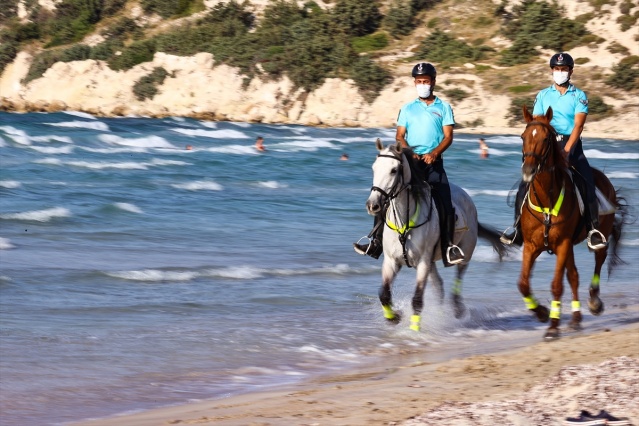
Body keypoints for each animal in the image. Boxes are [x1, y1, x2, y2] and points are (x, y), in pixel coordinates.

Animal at [364, 140, 510, 332]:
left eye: (394, 170)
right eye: (374, 168)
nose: (372, 205)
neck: (405, 221)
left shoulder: (423, 262)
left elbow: (417, 300)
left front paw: (414, 331)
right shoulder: (391, 261)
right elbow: (384, 294)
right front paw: (394, 317)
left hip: (463, 253)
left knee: (458, 278)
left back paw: (457, 311)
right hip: (431, 262)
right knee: (439, 286)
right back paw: (441, 315)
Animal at [520, 105, 624, 340]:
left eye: (546, 139)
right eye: (523, 136)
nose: (528, 171)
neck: (547, 199)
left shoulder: (562, 244)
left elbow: (557, 285)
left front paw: (552, 327)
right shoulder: (531, 245)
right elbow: (523, 284)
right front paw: (541, 312)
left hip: (596, 235)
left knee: (598, 260)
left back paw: (594, 302)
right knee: (574, 275)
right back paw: (576, 319)